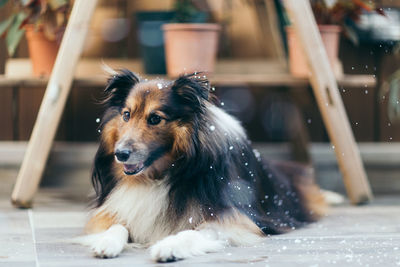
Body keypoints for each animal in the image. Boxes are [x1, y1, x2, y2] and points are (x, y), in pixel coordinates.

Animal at [80, 69, 324, 264]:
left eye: (155, 119)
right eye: (126, 115)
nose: (120, 154)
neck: (159, 176)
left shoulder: (231, 219)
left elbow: (192, 232)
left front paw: (169, 246)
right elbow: (118, 225)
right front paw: (106, 242)